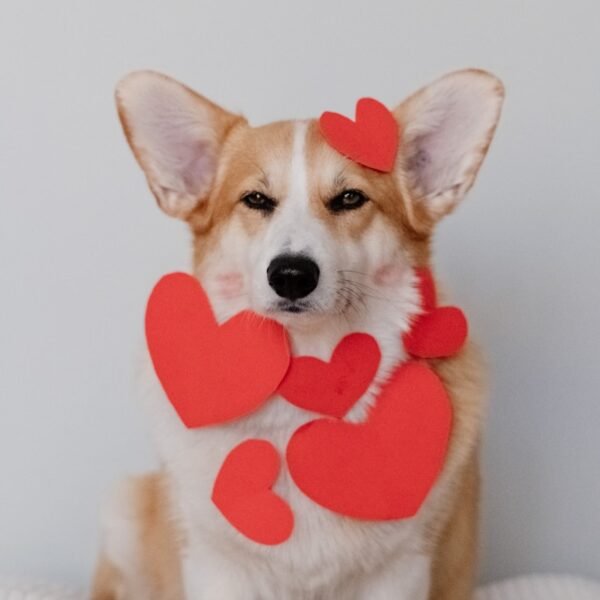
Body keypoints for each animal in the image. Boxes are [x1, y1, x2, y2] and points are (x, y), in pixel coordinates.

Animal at [91, 68, 504, 596]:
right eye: (256, 200)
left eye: (350, 198)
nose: (291, 274)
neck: (309, 375)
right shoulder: (217, 566)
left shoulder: (400, 570)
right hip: (124, 508)